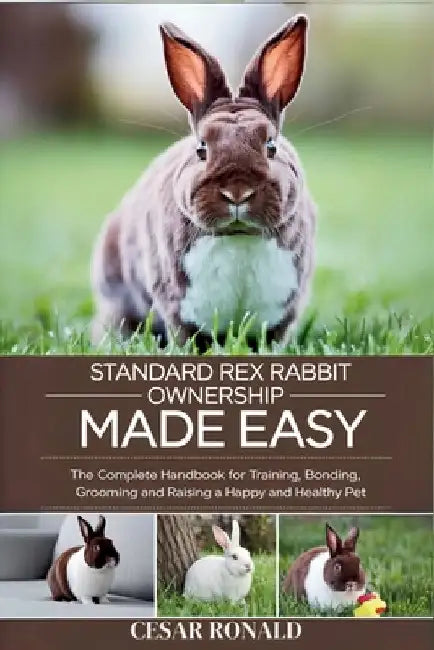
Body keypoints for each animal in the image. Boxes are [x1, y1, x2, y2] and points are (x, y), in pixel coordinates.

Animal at [91, 15, 316, 348]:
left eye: (271, 146)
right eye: (201, 148)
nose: (237, 192)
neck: (238, 236)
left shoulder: (285, 310)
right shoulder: (175, 303)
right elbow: (186, 333)